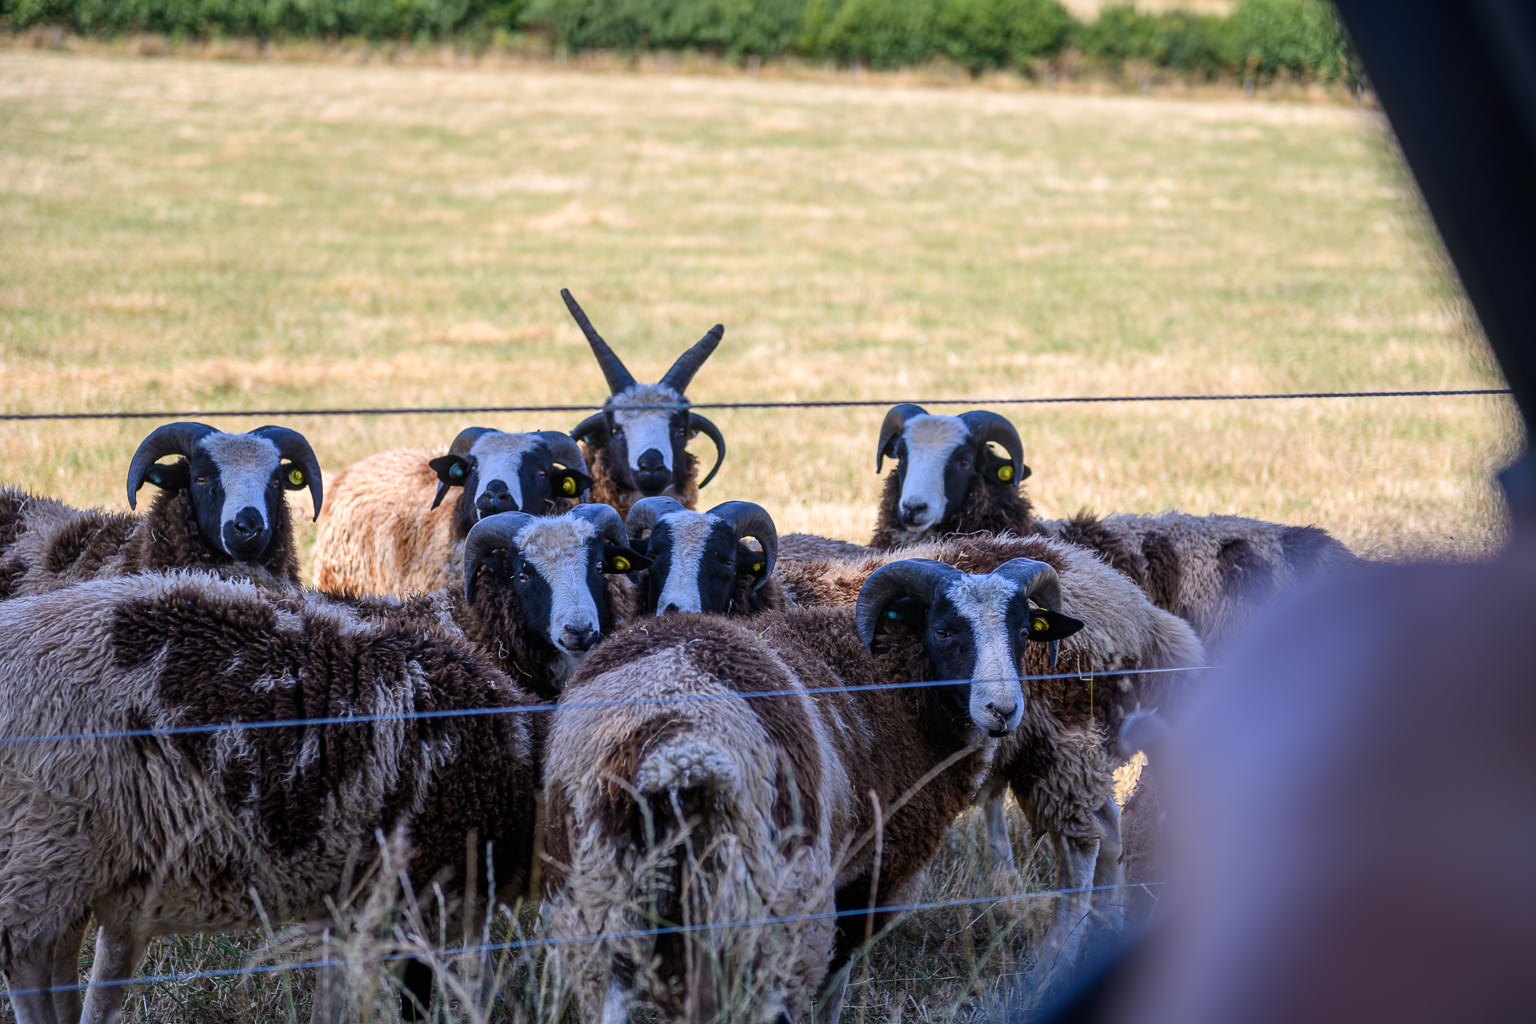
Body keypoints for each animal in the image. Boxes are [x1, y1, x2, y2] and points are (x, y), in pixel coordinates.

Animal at [0, 505, 652, 1024]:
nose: (580, 630)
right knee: (27, 968)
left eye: (600, 565)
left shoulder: (355, 902)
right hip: (41, 852)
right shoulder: (418, 887)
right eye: (523, 572)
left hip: (76, 869)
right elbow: (416, 998)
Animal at [542, 550, 1192, 1021]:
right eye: (945, 629)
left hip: (605, 886)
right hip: (769, 897)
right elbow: (837, 976)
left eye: (1022, 632)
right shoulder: (877, 863)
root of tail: (675, 737)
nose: (1003, 710)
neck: (890, 675)